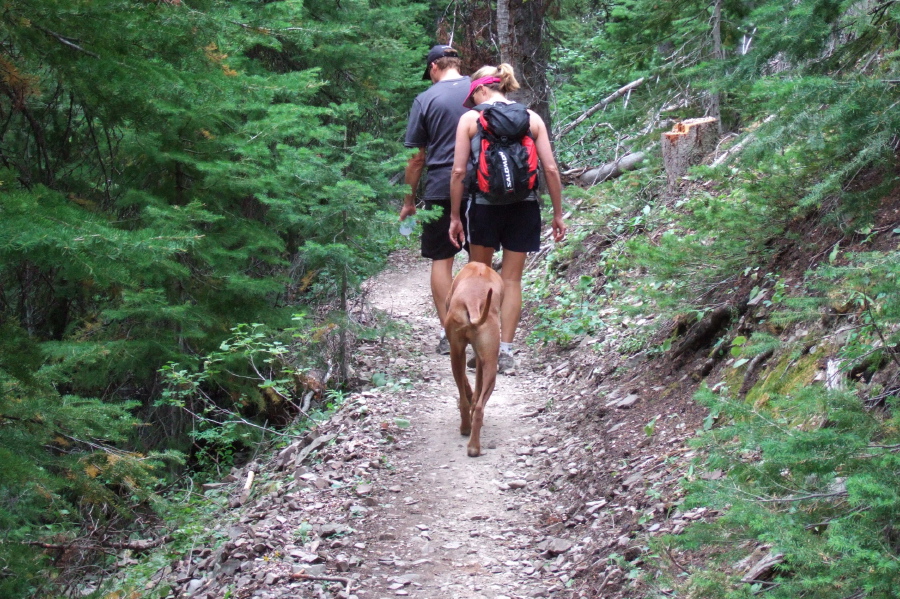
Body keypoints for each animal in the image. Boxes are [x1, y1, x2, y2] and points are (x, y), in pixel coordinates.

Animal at [444, 264, 506, 460]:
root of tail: (473, 301)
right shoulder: (477, 356)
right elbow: (476, 386)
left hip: (456, 354)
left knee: (465, 399)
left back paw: (466, 429)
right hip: (490, 365)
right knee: (479, 408)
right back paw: (473, 446)